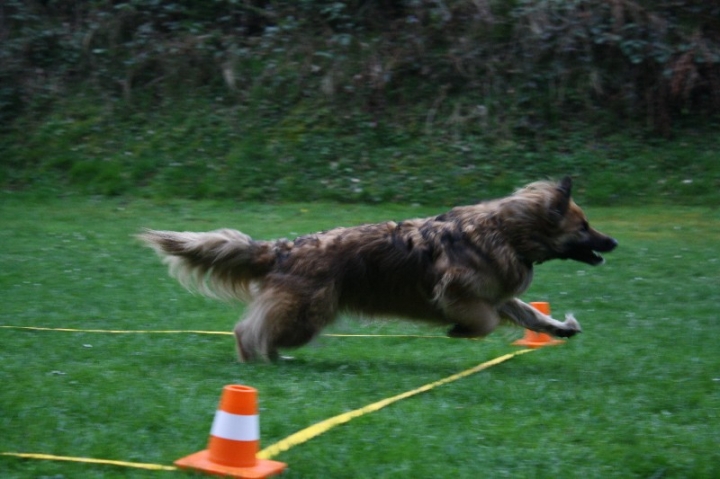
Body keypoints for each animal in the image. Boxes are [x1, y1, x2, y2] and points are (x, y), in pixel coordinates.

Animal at [141, 178, 620, 362]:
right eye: (584, 227)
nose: (613, 243)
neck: (508, 231)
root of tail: (286, 248)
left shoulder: (498, 294)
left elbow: (530, 313)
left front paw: (560, 327)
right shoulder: (459, 292)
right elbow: (481, 322)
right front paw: (459, 331)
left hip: (304, 314)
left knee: (264, 330)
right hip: (307, 312)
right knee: (249, 330)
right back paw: (255, 357)